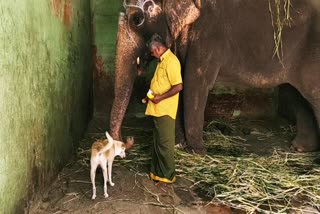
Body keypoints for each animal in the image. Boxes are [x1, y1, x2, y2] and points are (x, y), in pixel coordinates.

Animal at [109, 0, 320, 154]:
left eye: (137, 19)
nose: (127, 140)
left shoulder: (208, 35)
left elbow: (195, 83)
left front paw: (197, 151)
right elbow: (181, 81)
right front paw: (179, 145)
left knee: (312, 96)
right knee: (298, 95)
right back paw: (299, 148)